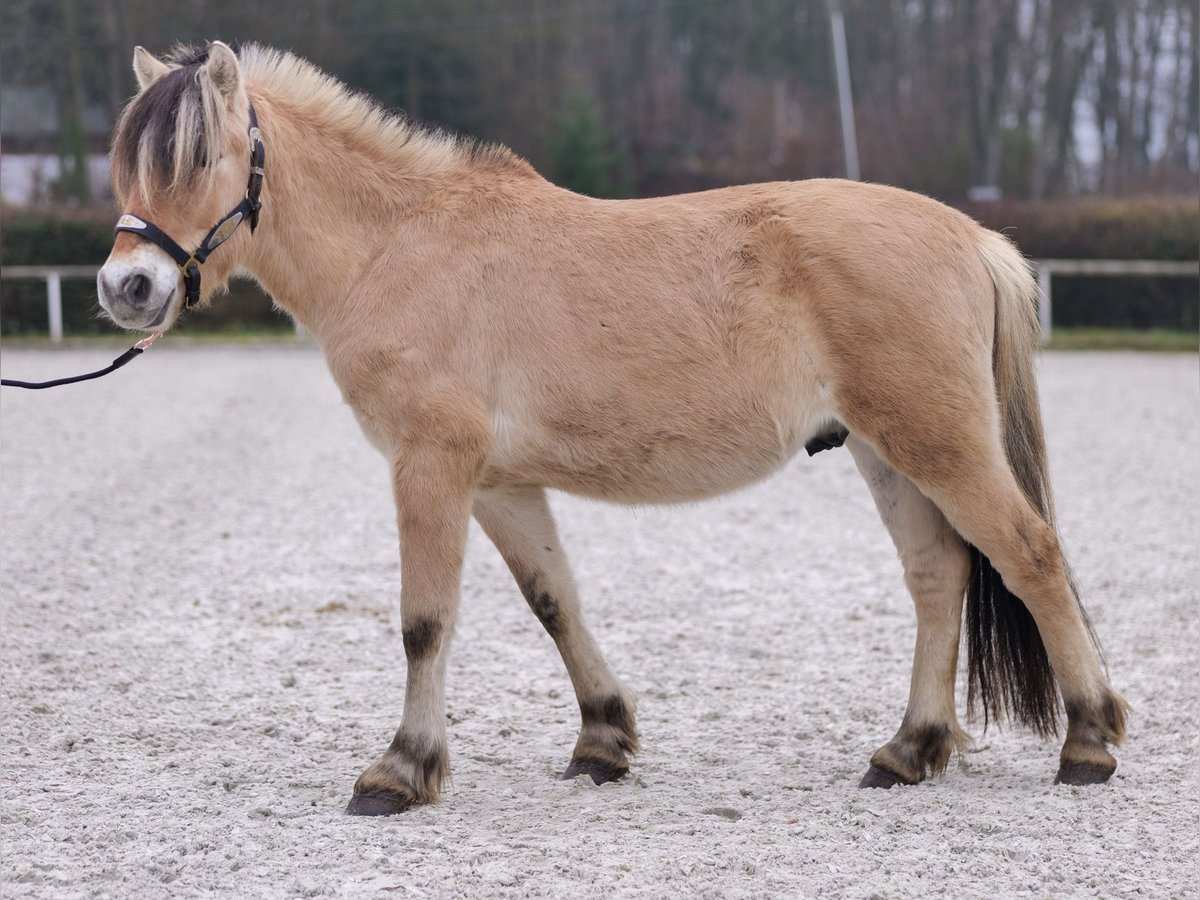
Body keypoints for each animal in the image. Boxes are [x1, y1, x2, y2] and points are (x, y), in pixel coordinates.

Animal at [93, 42, 1123, 816]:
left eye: (198, 158)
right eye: (126, 165)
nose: (126, 288)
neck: (400, 245)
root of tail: (973, 239)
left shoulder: (431, 467)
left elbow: (426, 622)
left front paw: (401, 770)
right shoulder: (499, 482)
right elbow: (557, 601)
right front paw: (602, 739)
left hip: (937, 443)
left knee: (1030, 555)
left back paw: (1087, 742)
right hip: (887, 452)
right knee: (938, 576)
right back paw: (909, 750)